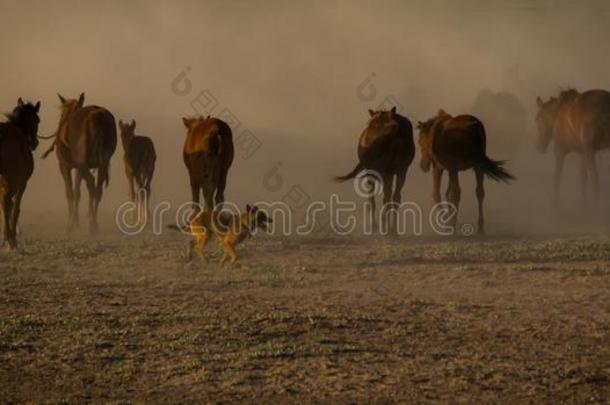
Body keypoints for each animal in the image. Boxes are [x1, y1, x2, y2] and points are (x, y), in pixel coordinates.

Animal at [0, 98, 40, 249]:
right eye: (37, 120)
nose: (35, 143)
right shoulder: (21, 183)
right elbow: (15, 206)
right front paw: (12, 238)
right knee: (6, 203)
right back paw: (10, 239)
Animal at [43, 92, 117, 232]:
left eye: (62, 114)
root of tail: (97, 116)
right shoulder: (79, 168)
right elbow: (77, 192)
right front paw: (76, 222)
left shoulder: (64, 166)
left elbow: (70, 192)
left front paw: (71, 223)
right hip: (101, 164)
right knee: (97, 189)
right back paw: (94, 223)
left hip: (82, 165)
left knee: (92, 185)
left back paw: (91, 224)